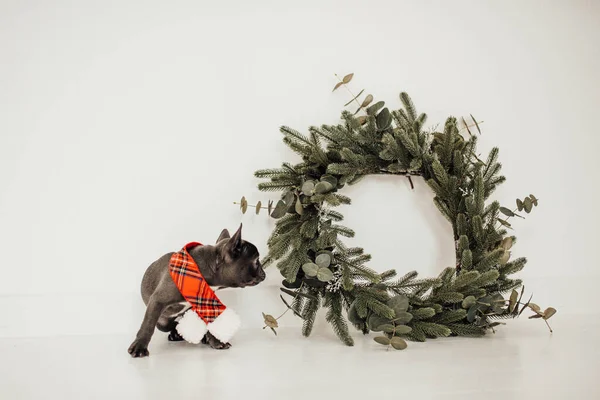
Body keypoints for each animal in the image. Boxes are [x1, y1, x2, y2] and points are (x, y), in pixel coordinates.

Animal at [127, 223, 264, 358]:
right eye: (256, 262)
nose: (263, 273)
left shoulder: (204, 303)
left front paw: (215, 341)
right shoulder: (157, 301)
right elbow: (149, 324)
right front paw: (140, 347)